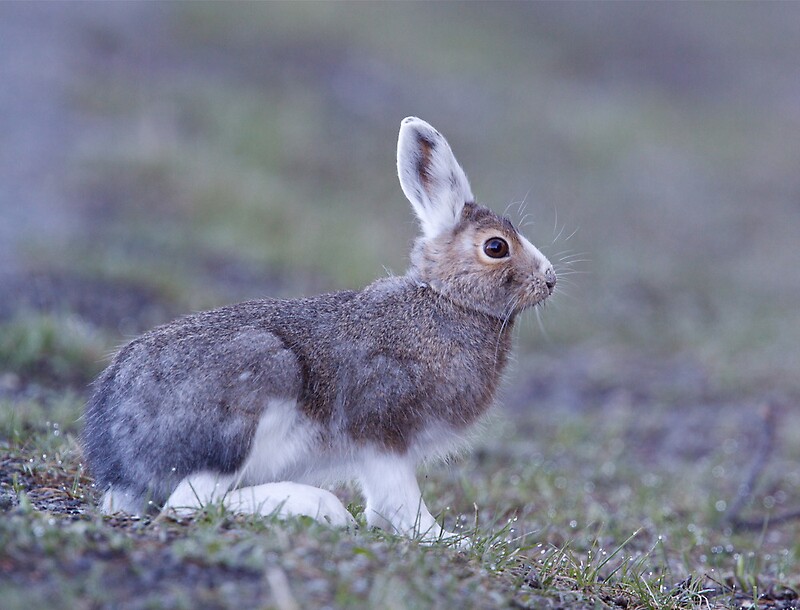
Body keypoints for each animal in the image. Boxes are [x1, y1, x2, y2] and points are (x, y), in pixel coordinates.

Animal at [82, 117, 556, 541]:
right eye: (496, 247)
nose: (550, 279)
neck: (447, 300)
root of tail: (115, 456)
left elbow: (383, 504)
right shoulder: (382, 431)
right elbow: (401, 499)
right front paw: (445, 539)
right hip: (250, 393)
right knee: (189, 504)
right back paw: (319, 507)